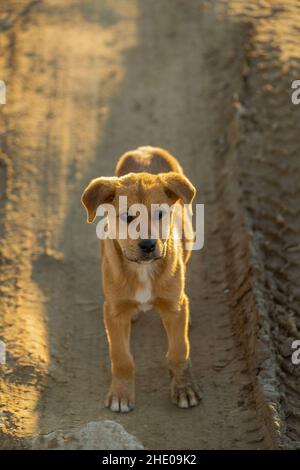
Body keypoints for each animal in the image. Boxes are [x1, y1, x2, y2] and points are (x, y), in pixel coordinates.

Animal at [81, 146, 202, 412]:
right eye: (127, 217)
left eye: (160, 214)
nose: (148, 245)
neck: (142, 269)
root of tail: (144, 150)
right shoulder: (113, 311)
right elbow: (121, 357)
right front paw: (121, 394)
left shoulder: (173, 306)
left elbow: (179, 350)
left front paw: (184, 388)